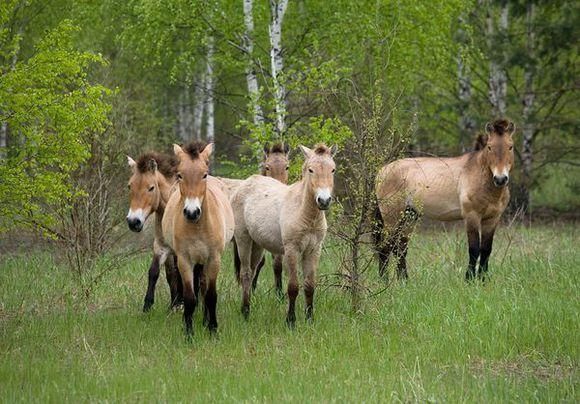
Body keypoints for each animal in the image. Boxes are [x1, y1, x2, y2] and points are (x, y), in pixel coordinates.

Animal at [125, 152, 182, 312]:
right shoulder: (161, 247)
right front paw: (148, 305)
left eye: (151, 188)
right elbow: (155, 272)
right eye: (129, 186)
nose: (133, 222)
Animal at [161, 142, 233, 338]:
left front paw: (213, 329)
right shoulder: (185, 260)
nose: (192, 212)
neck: (198, 226)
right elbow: (190, 298)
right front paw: (188, 333)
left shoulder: (214, 260)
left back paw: (206, 321)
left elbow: (211, 295)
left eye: (204, 175)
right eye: (180, 175)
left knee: (204, 286)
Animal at [230, 144, 336, 326]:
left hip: (257, 246)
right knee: (245, 274)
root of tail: (246, 183)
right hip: (244, 240)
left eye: (333, 170)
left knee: (252, 271)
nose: (324, 200)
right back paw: (245, 312)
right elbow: (293, 286)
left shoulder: (314, 250)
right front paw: (290, 321)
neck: (304, 212)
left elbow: (310, 286)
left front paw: (310, 320)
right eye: (311, 170)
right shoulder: (292, 250)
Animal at [376, 118, 516, 280]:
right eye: (489, 147)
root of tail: (381, 171)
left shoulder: (492, 219)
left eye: (510, 146)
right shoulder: (472, 216)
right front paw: (469, 279)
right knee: (385, 247)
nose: (500, 179)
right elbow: (474, 249)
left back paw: (404, 280)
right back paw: (384, 281)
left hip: (409, 216)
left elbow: (486, 250)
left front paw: (483, 279)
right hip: (391, 218)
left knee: (400, 247)